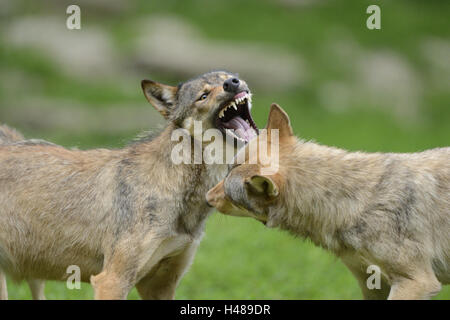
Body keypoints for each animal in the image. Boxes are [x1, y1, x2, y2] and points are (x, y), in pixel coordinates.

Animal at [0, 71, 256, 298]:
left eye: (228, 77)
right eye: (203, 96)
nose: (233, 83)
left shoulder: (159, 286)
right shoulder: (111, 281)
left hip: (35, 278)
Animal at [206, 104, 448, 298]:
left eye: (228, 190)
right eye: (227, 170)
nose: (206, 198)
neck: (353, 203)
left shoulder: (417, 282)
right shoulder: (373, 285)